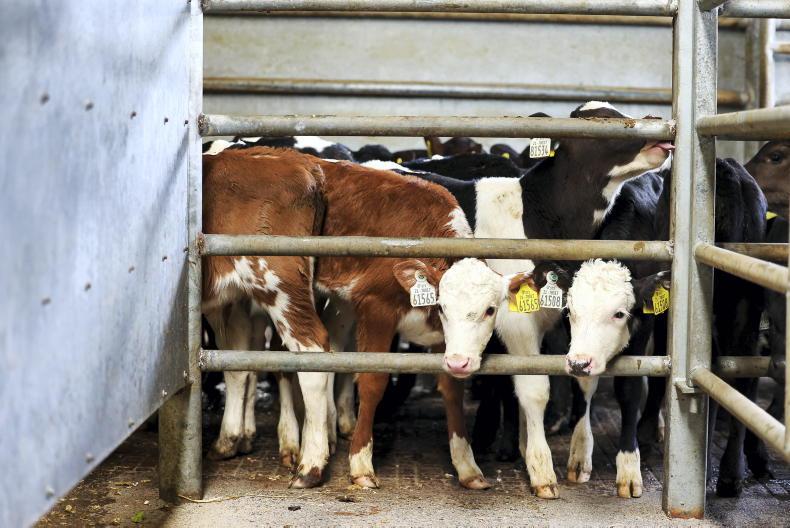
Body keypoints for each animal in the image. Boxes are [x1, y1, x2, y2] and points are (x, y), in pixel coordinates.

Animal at [202, 147, 540, 489]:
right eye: (443, 306)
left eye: (490, 309)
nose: (462, 362)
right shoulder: (376, 309)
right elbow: (372, 381)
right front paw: (361, 463)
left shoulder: (443, 339)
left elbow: (451, 388)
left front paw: (467, 465)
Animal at [397, 101, 674, 498]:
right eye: (602, 120)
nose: (655, 120)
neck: (537, 217)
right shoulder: (515, 318)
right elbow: (533, 388)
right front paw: (541, 470)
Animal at [562, 158, 767, 498]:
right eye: (570, 312)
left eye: (619, 314)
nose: (579, 362)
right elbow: (584, 386)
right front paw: (579, 453)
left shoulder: (643, 321)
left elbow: (629, 388)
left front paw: (628, 467)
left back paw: (722, 470)